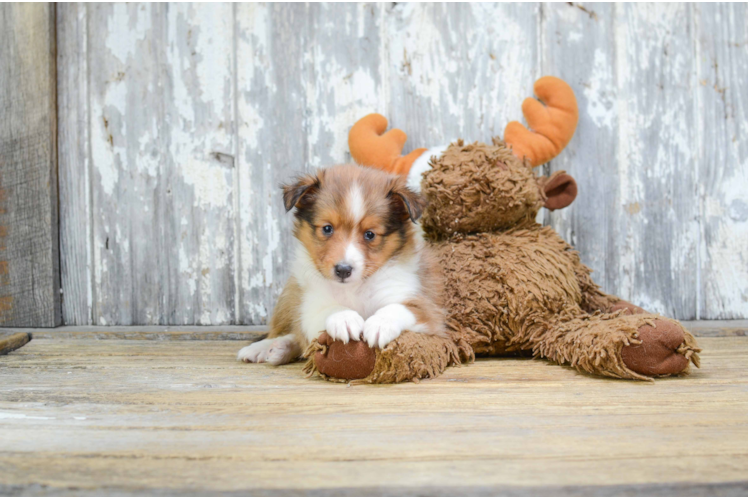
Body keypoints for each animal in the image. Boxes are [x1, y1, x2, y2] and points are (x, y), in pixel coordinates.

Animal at [238, 164, 444, 364]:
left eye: (370, 234)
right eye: (327, 228)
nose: (343, 270)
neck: (355, 288)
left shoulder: (426, 310)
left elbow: (397, 308)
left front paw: (380, 324)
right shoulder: (310, 308)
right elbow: (329, 310)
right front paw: (345, 319)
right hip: (290, 294)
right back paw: (266, 348)